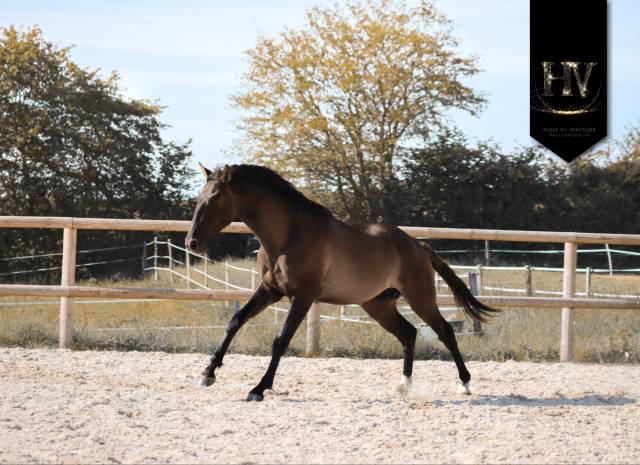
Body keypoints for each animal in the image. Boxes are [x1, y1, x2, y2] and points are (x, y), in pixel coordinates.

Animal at [186, 163, 499, 401]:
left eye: (213, 199)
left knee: (445, 331)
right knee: (409, 333)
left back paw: (464, 384)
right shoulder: (270, 291)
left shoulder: (303, 297)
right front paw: (208, 373)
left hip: (420, 298)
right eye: (198, 198)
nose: (192, 243)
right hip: (378, 305)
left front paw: (259, 388)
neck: (289, 235)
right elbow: (235, 321)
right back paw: (403, 386)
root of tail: (419, 246)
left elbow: (280, 340)